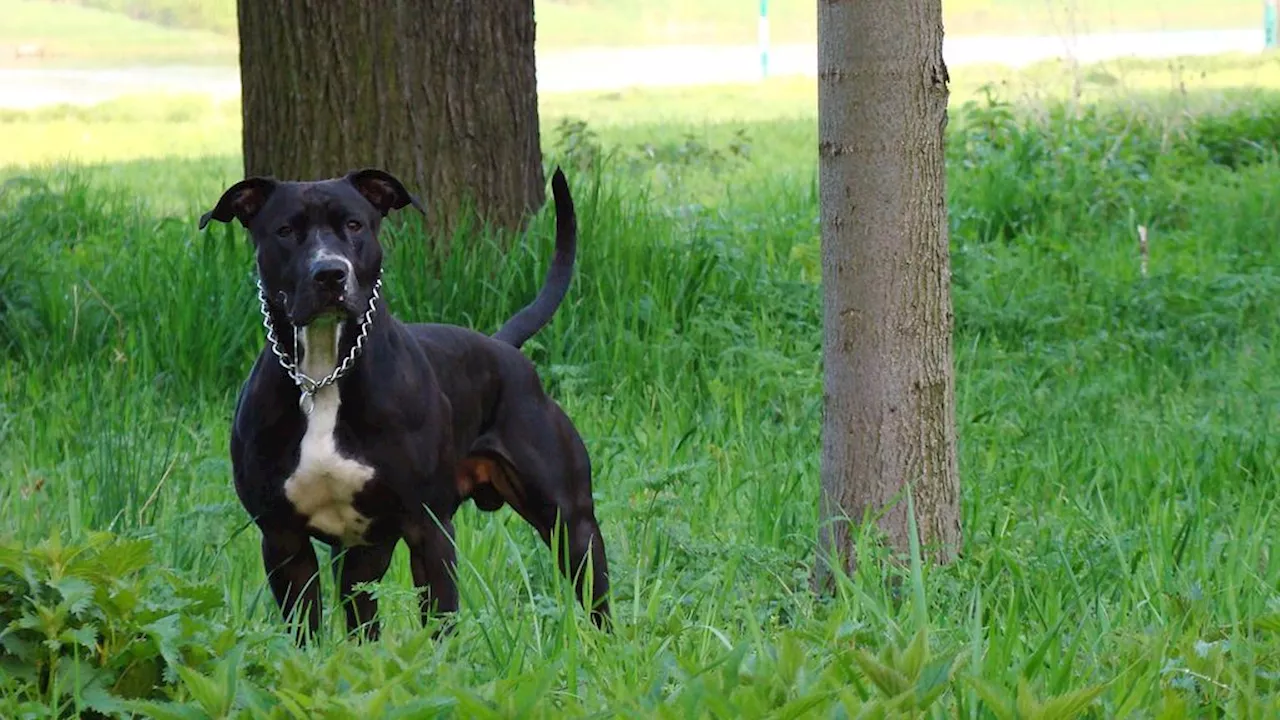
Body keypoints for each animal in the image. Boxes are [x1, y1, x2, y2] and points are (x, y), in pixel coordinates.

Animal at [198, 166, 609, 638]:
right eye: (285, 231)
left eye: (354, 224)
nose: (330, 273)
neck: (324, 376)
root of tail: (502, 347)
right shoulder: (284, 541)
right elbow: (305, 636)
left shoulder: (428, 529)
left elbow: (440, 627)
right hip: (361, 557)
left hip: (571, 524)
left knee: (595, 597)